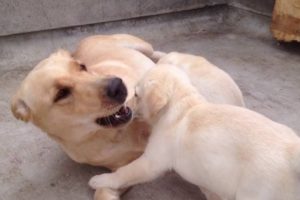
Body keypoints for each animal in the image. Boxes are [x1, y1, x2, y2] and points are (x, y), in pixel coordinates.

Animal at [10, 33, 245, 199]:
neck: (113, 134)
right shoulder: (124, 166)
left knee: (159, 53)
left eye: (82, 67)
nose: (118, 86)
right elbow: (109, 185)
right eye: (61, 94)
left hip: (142, 45)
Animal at [89, 64, 300, 200]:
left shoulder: (152, 162)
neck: (182, 105)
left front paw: (101, 180)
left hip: (255, 192)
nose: (127, 106)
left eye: (136, 94)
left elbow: (125, 172)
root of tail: (292, 153)